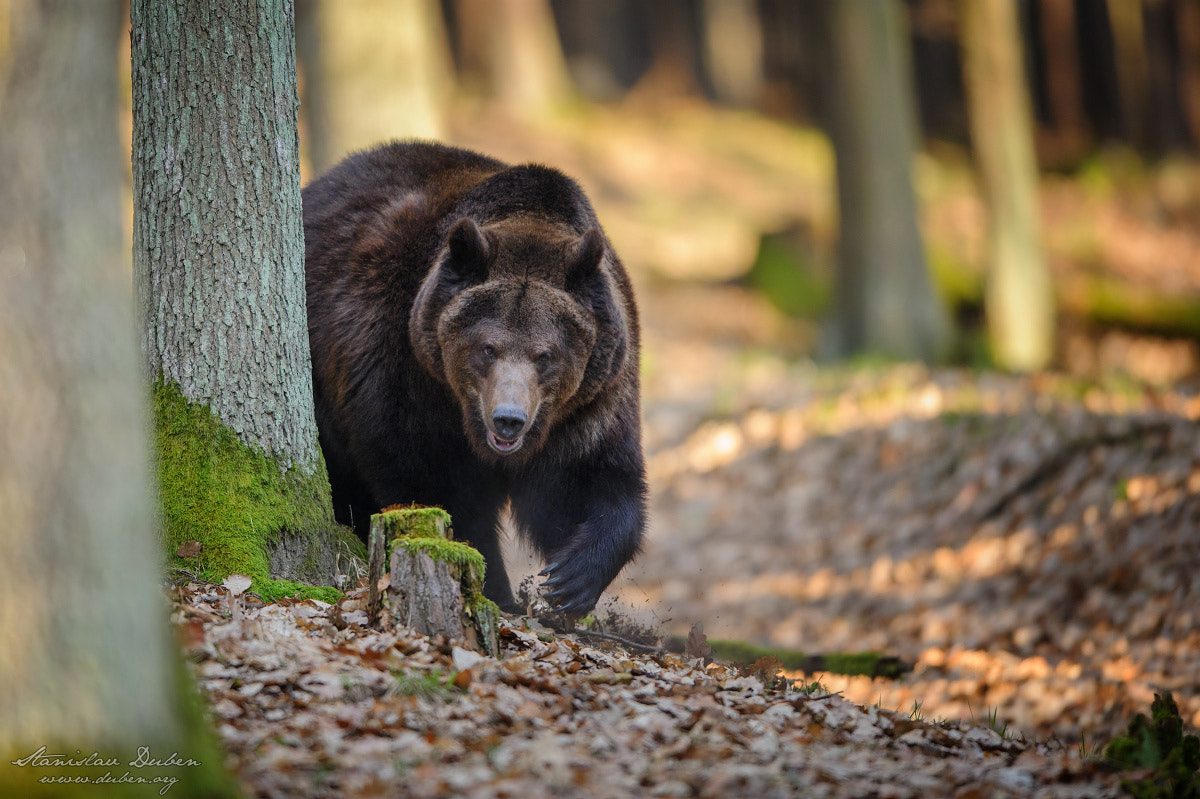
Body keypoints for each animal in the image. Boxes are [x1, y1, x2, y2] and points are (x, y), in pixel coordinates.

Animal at [304, 141, 648, 609]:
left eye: (545, 355)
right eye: (488, 348)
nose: (508, 419)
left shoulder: (592, 401)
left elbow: (592, 481)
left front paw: (570, 579)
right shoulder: (407, 376)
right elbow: (439, 491)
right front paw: (496, 590)